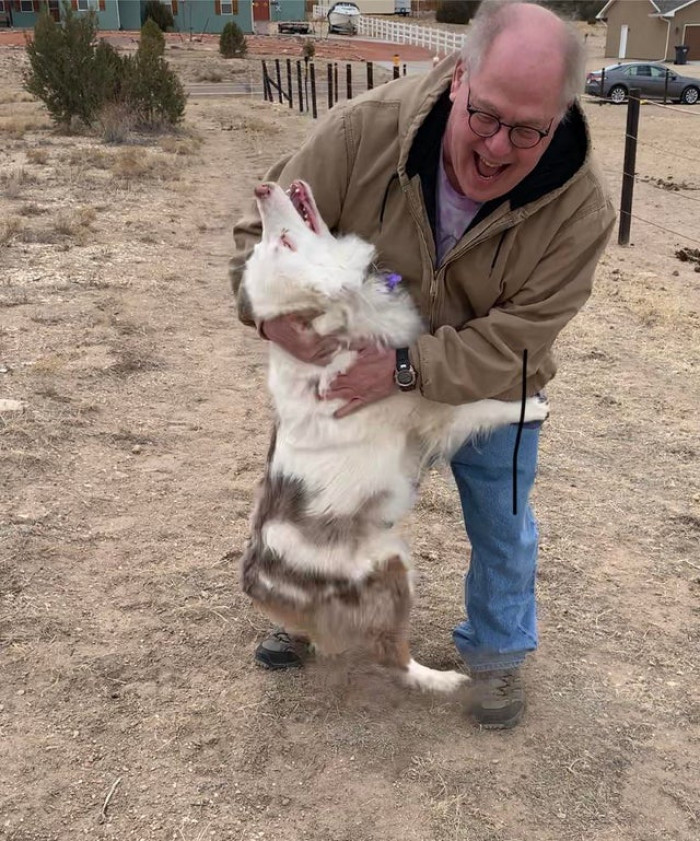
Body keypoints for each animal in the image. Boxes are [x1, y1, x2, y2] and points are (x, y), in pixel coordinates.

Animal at [241, 180, 548, 692]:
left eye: (276, 242)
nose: (262, 187)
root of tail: (259, 583)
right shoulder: (424, 406)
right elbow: (479, 407)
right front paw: (532, 405)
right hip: (392, 566)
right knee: (391, 655)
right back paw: (445, 681)